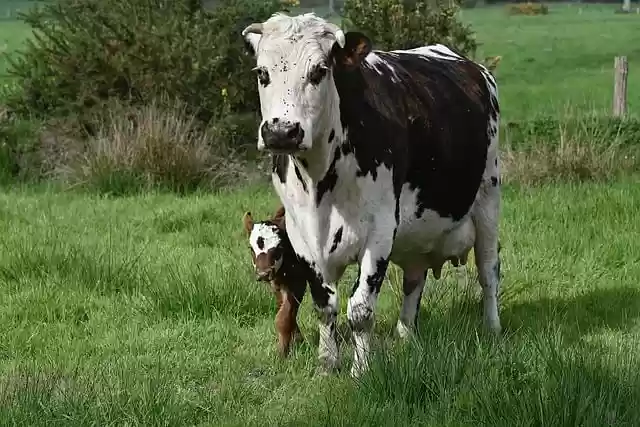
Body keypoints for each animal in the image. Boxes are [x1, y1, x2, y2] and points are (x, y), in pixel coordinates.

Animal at [243, 206, 309, 357]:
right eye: (251, 249)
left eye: (279, 247)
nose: (263, 273)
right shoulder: (276, 284)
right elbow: (285, 309)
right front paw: (297, 339)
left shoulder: (299, 281)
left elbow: (283, 317)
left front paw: (282, 353)